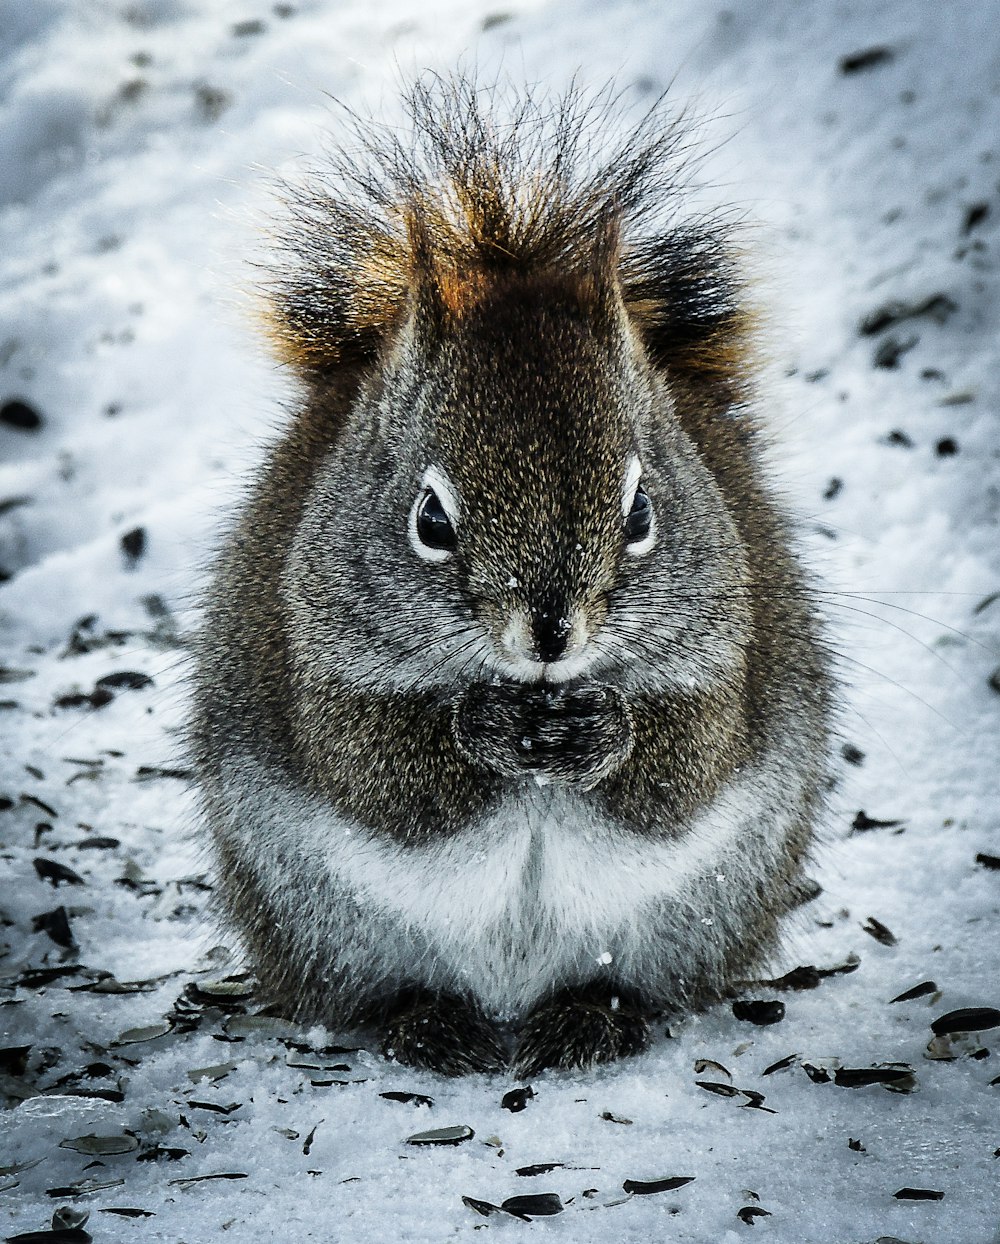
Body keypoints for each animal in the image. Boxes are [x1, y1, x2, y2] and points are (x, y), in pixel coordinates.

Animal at [191, 77, 830, 1074]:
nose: (551, 634)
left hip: (707, 913)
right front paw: (483, 728)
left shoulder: (725, 660)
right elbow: (384, 780)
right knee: (372, 990)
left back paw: (592, 1015)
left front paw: (605, 732)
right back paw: (427, 1020)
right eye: (430, 520)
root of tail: (509, 1002)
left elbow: (681, 775)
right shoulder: (316, 668)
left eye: (642, 514)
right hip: (317, 922)